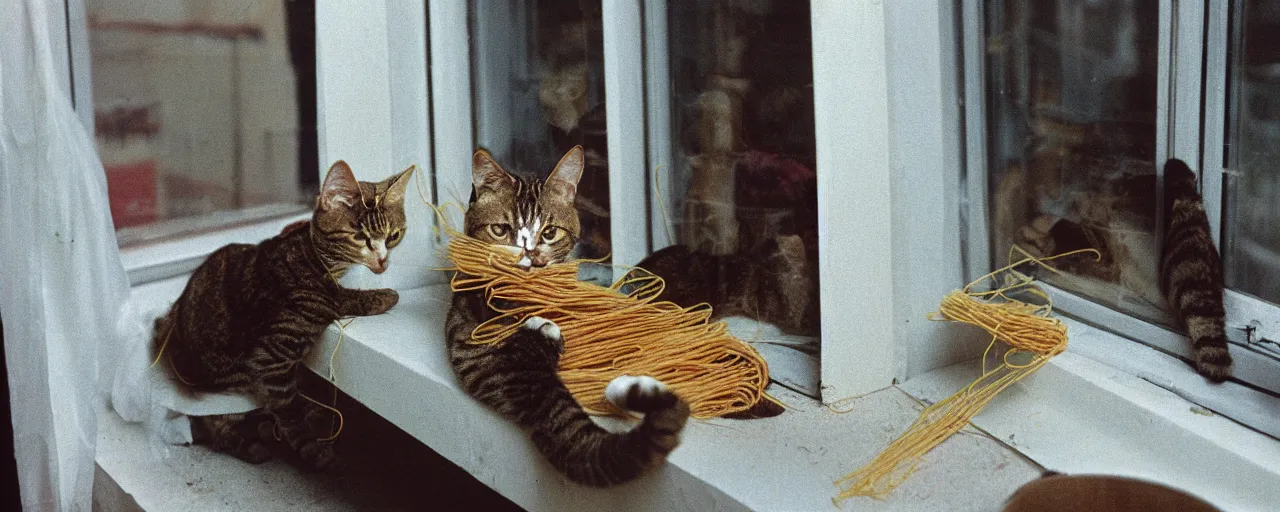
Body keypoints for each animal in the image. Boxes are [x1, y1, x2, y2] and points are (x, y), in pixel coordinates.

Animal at [152, 161, 414, 468]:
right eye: (360, 237)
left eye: (393, 236)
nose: (383, 261)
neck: (315, 255)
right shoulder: (274, 354)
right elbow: (289, 408)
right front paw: (311, 448)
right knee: (215, 427)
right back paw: (249, 443)